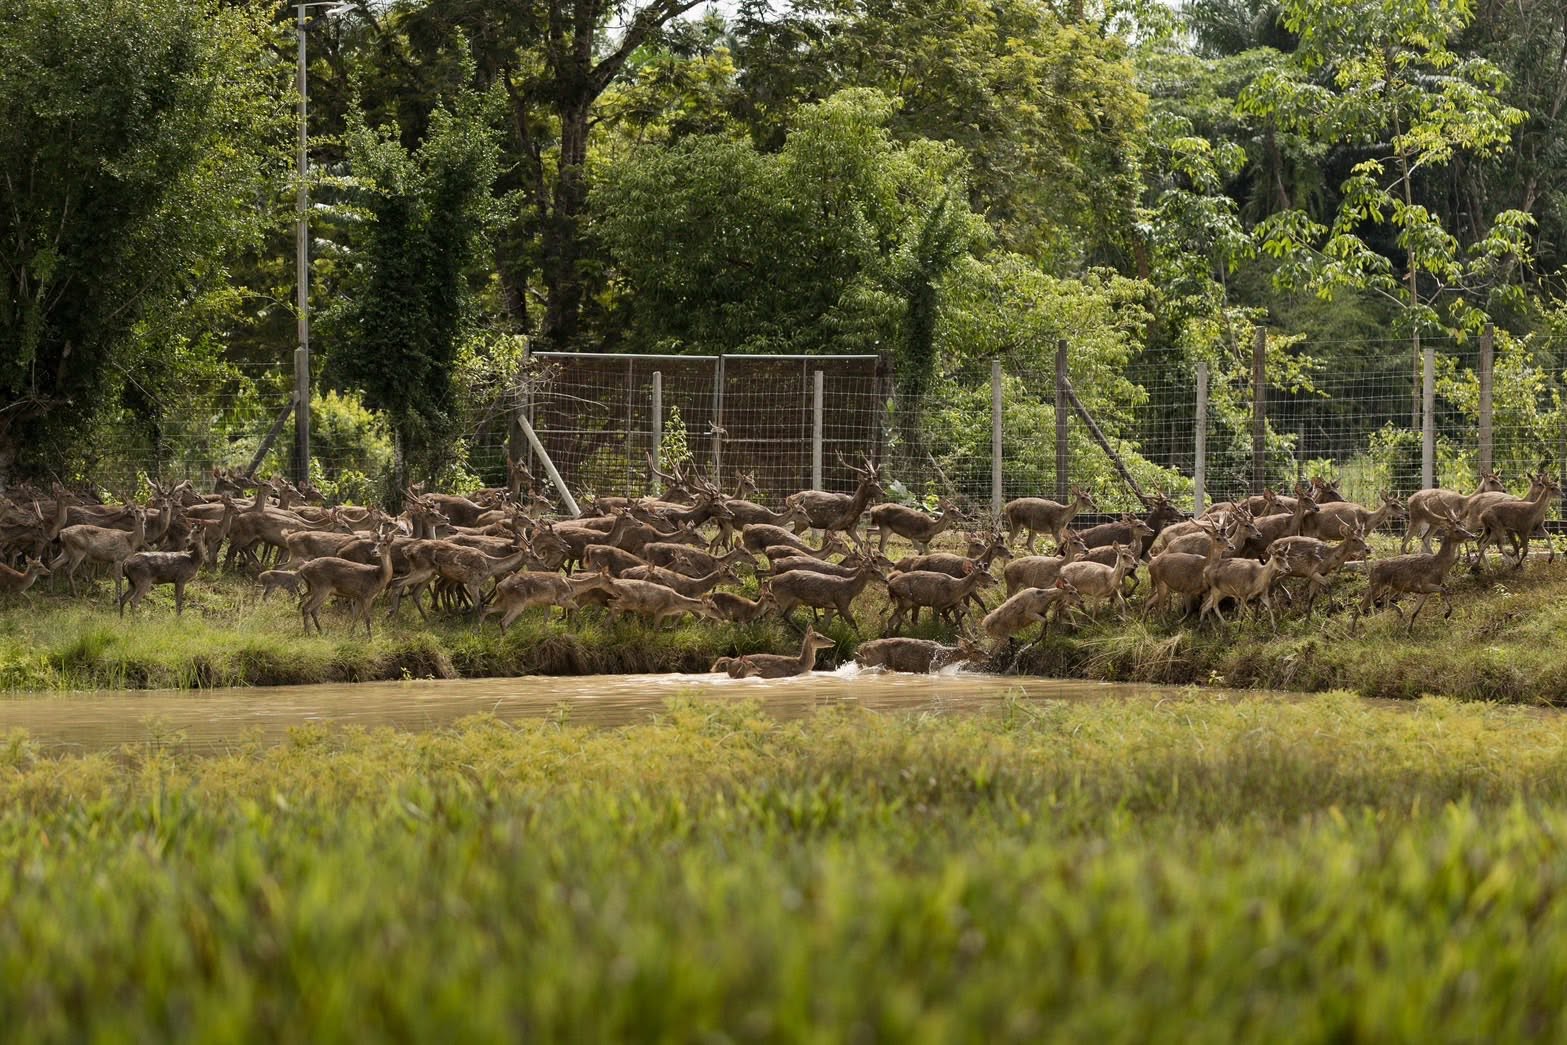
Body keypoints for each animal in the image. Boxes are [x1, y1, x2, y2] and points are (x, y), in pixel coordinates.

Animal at [854, 637, 987, 673]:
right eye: (975, 651)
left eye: (981, 649)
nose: (989, 657)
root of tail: (863, 646)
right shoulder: (929, 668)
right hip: (876, 659)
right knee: (860, 659)